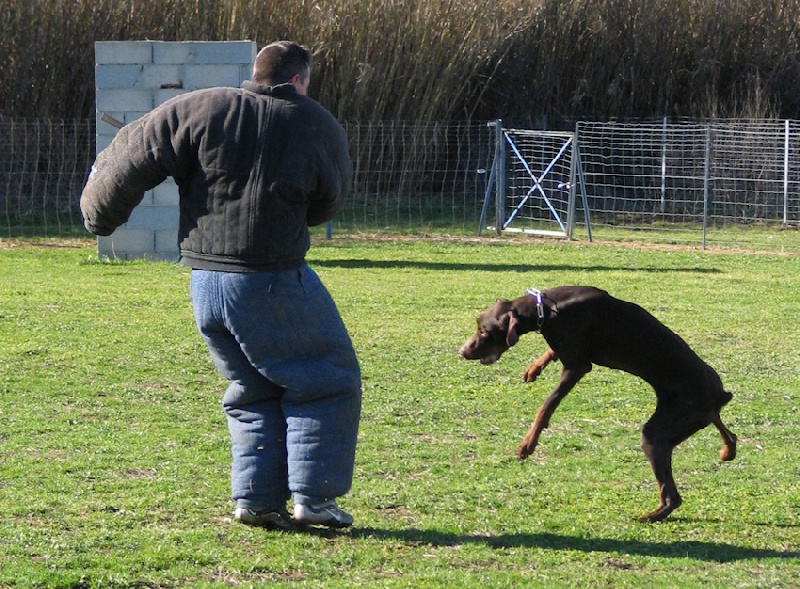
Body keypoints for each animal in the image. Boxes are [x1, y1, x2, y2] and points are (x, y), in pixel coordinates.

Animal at [460, 284, 736, 520]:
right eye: (478, 325)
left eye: (484, 331)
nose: (462, 352)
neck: (545, 309)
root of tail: (719, 395)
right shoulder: (570, 351)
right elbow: (552, 353)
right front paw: (534, 368)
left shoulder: (577, 366)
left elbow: (547, 405)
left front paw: (528, 443)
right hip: (691, 417)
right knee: (727, 431)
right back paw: (728, 450)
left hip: (659, 432)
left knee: (672, 497)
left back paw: (650, 516)